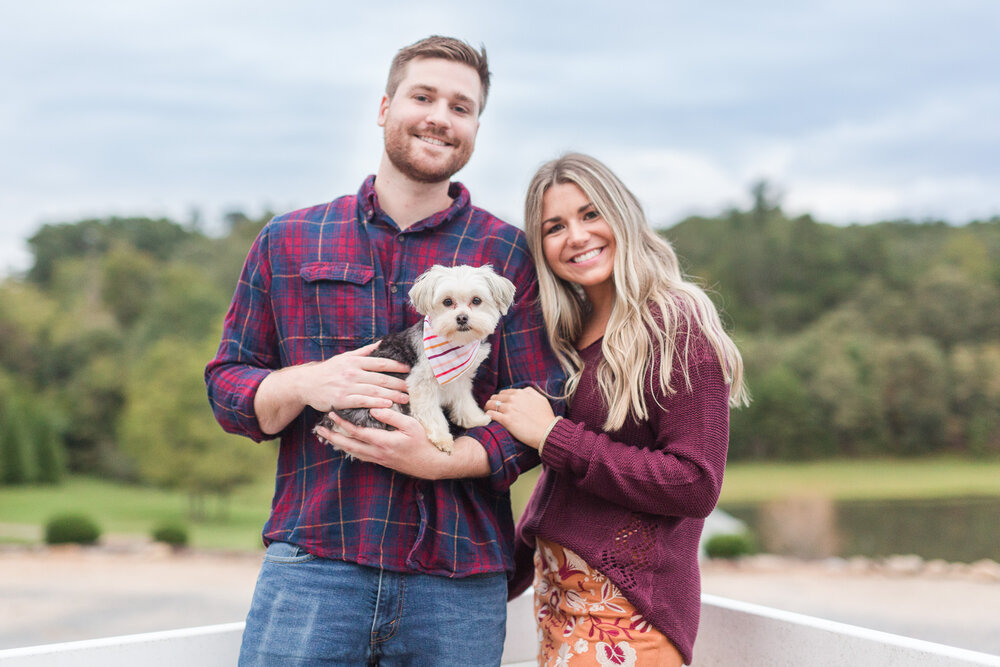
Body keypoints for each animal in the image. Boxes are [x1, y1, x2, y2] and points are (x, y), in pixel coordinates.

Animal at [312, 264, 516, 456]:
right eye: (447, 301)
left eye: (476, 300)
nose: (462, 318)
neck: (456, 345)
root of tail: (330, 419)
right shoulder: (422, 384)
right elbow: (430, 412)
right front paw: (442, 438)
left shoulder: (461, 379)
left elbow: (464, 401)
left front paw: (475, 419)